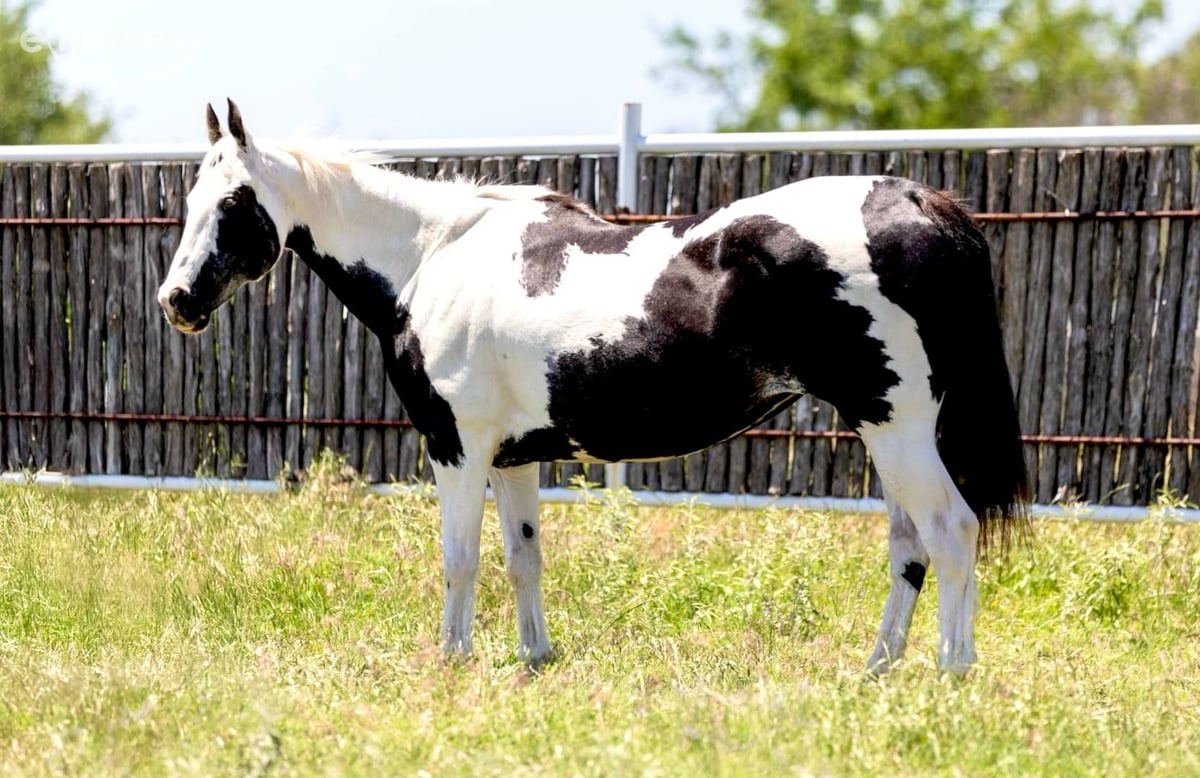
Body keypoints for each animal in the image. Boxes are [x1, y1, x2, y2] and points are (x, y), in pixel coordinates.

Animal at [158, 100, 1028, 675]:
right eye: (190, 201)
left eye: (234, 202)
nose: (178, 302)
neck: (431, 257)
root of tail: (918, 202)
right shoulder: (512, 458)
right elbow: (523, 558)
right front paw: (533, 658)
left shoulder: (456, 447)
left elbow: (460, 558)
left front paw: (452, 661)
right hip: (884, 432)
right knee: (909, 547)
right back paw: (877, 669)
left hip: (898, 429)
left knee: (950, 532)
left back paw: (951, 675)